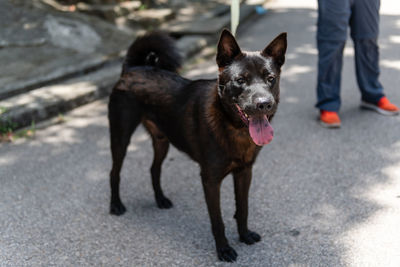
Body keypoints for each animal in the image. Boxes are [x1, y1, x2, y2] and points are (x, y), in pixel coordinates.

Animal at [108, 29, 286, 262]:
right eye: (240, 80)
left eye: (270, 78)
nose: (264, 104)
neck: (233, 127)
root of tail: (132, 69)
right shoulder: (210, 180)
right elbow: (217, 221)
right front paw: (224, 249)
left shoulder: (244, 172)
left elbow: (243, 208)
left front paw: (244, 235)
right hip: (121, 137)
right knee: (114, 172)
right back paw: (115, 205)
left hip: (162, 141)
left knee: (154, 169)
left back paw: (160, 199)